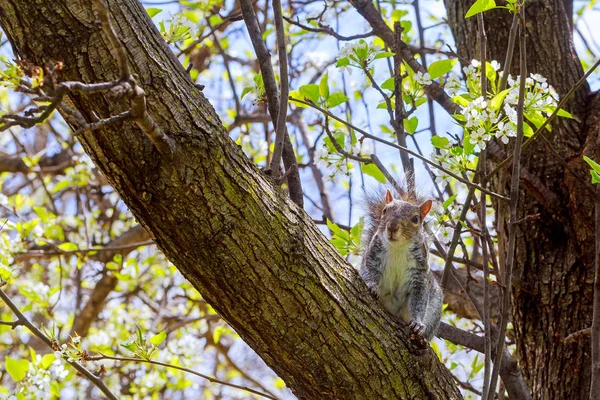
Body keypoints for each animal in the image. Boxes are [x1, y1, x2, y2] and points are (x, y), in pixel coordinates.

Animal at [358, 188, 442, 340]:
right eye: (384, 210)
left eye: (415, 219)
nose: (392, 227)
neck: (398, 248)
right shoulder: (372, 257)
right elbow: (369, 271)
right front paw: (372, 286)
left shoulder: (419, 275)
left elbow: (419, 300)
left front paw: (417, 323)